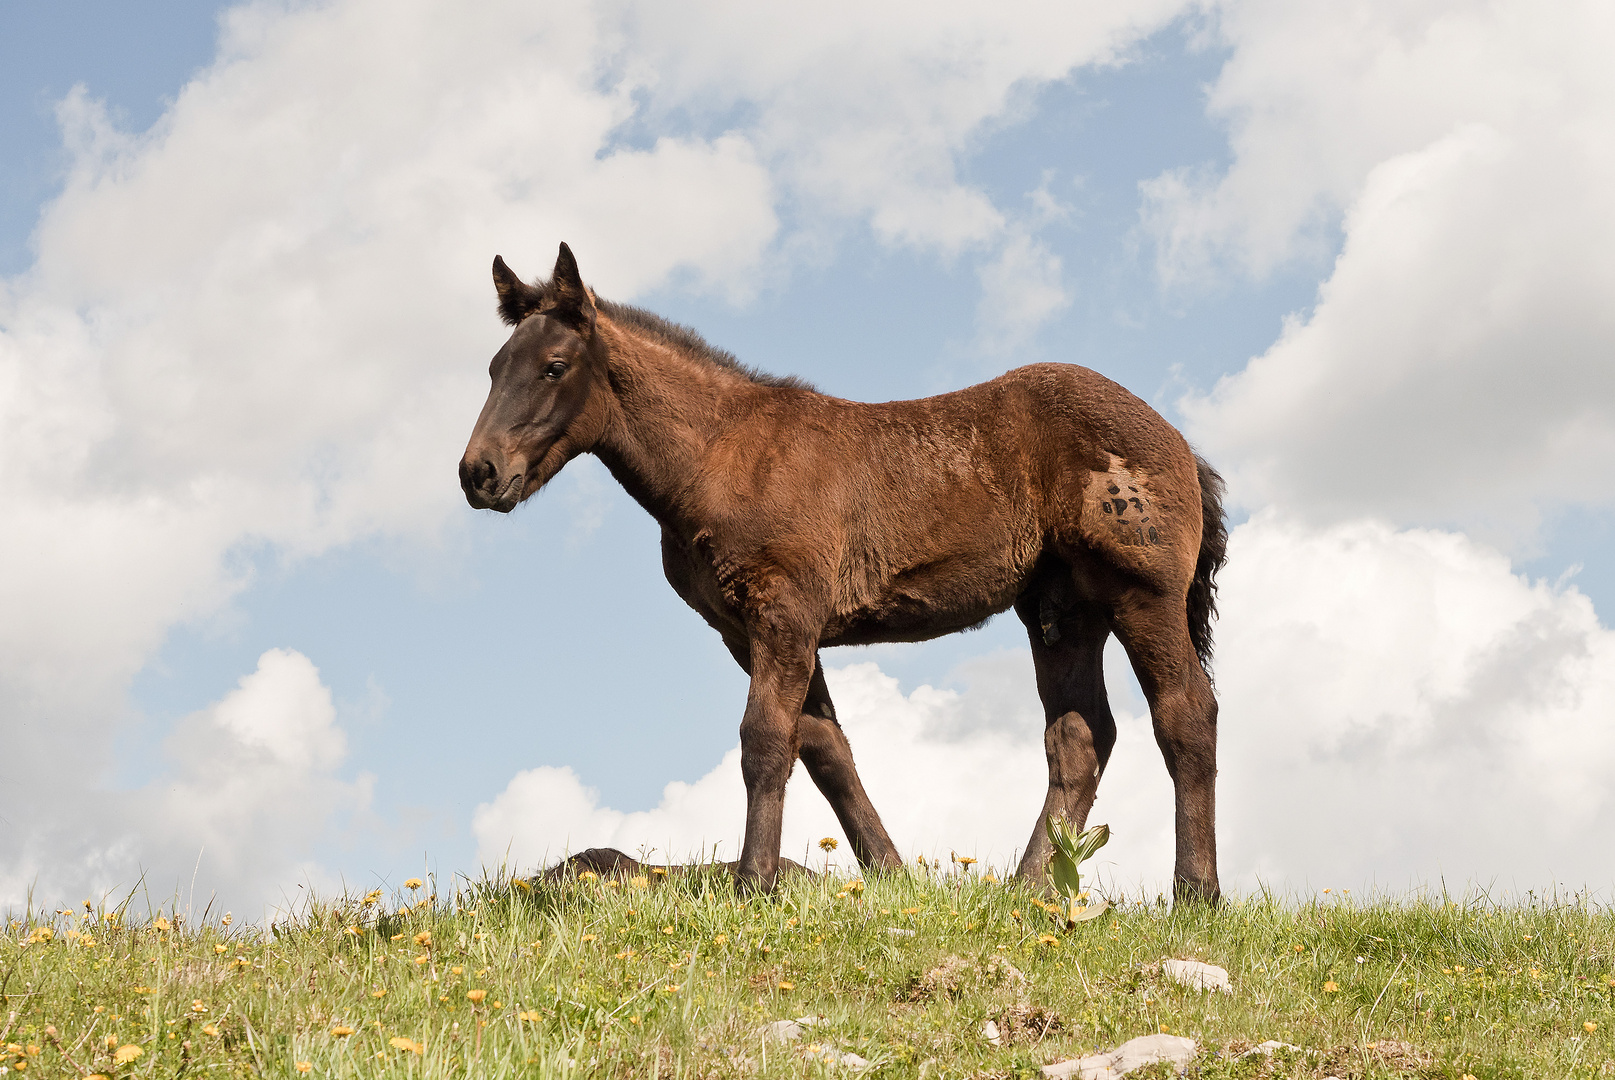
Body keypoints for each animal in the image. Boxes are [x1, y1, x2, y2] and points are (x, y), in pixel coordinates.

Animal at [455, 243, 1220, 904]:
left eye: (554, 366)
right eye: (492, 367)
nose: (477, 473)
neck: (723, 455)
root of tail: (1179, 441)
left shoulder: (784, 612)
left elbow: (766, 740)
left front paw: (752, 885)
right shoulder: (751, 631)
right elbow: (825, 750)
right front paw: (890, 876)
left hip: (1141, 595)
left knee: (1186, 713)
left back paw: (1195, 894)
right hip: (1062, 610)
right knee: (1079, 737)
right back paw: (1025, 889)